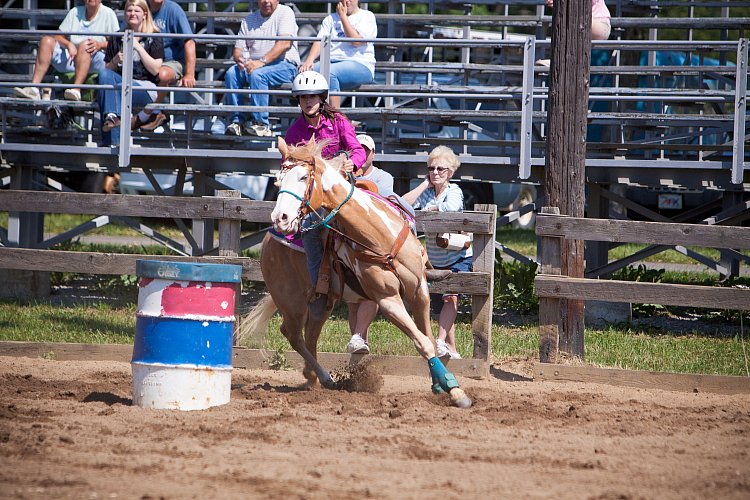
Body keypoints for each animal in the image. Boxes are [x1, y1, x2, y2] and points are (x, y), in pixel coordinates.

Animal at [241, 138, 472, 410]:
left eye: (303, 177)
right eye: (278, 180)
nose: (281, 218)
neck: (379, 235)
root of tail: (268, 239)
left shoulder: (419, 292)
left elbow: (427, 337)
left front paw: (439, 384)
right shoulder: (388, 300)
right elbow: (422, 342)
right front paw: (454, 390)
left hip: (322, 301)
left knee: (309, 336)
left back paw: (313, 377)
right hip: (291, 301)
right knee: (293, 335)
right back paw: (323, 377)